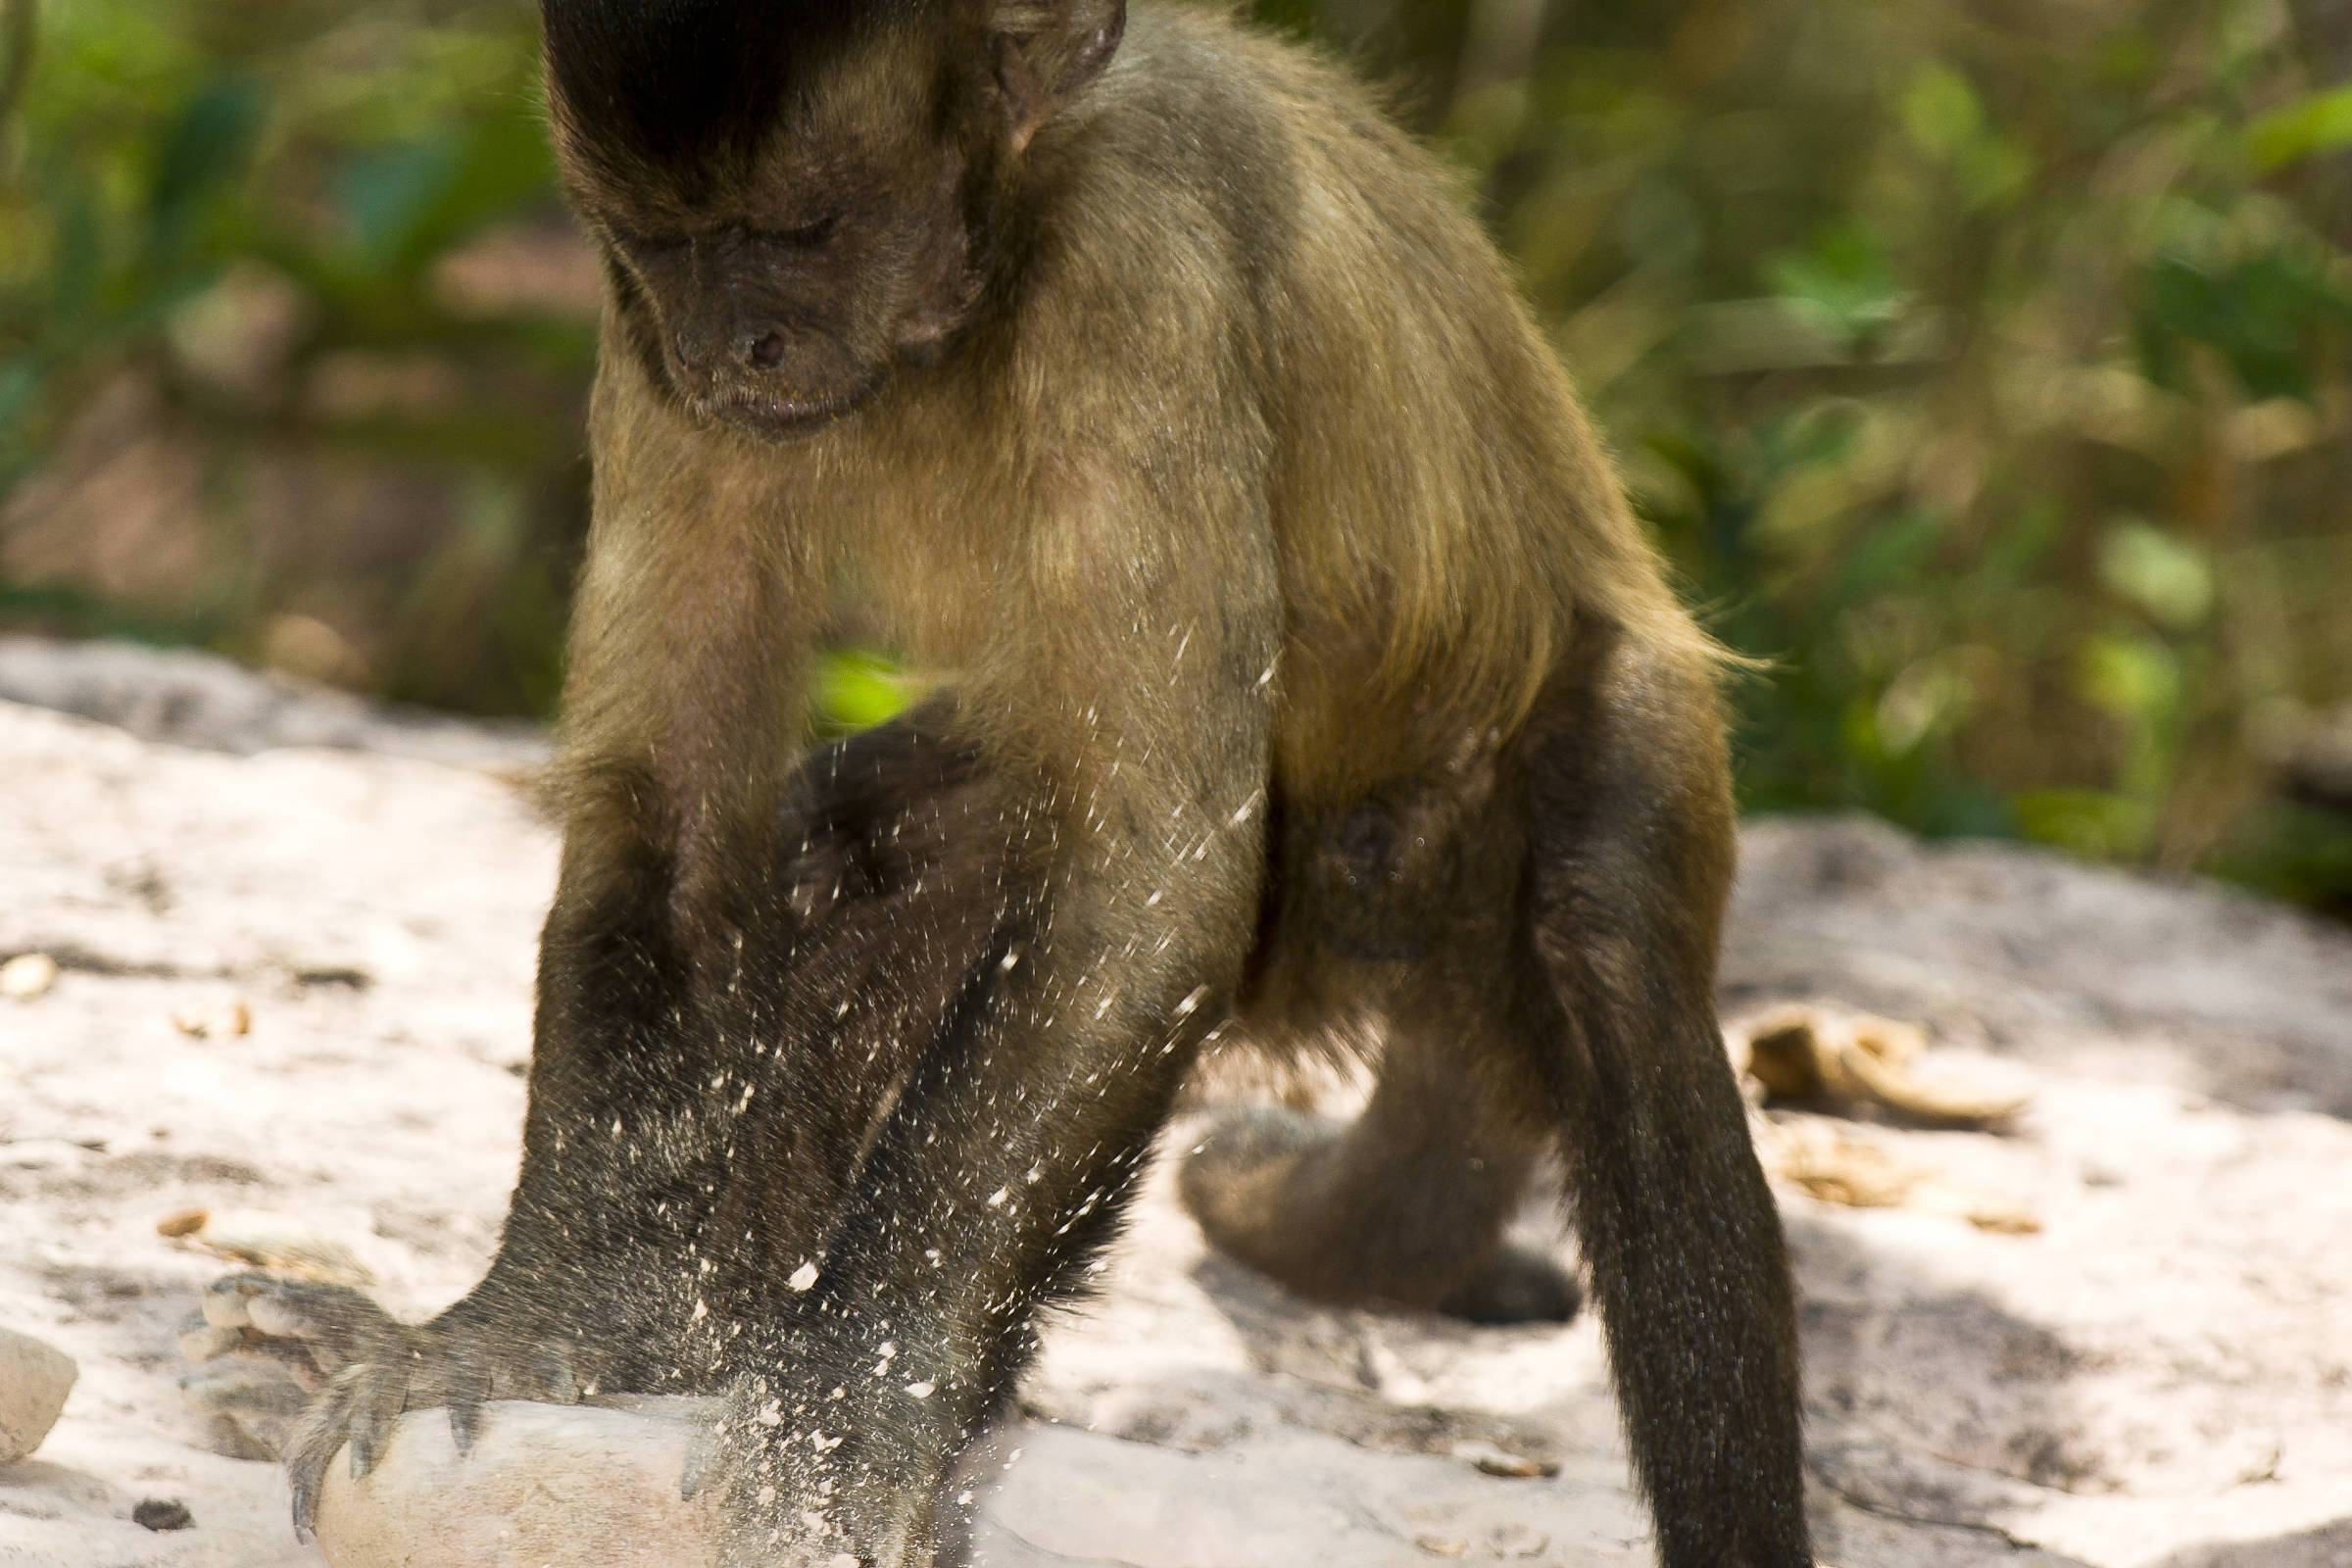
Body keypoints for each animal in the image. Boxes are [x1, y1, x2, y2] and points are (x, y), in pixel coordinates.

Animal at [224, 3, 1796, 1568]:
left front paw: (853, 1407)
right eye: (667, 244)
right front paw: (553, 1324)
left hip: (1582, 736)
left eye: (805, 230)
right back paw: (697, 1338)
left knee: (1605, 952)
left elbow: (1154, 880)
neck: (979, 294)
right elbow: (669, 821)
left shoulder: (1140, 272)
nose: (734, 342)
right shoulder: (642, 333)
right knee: (840, 857)